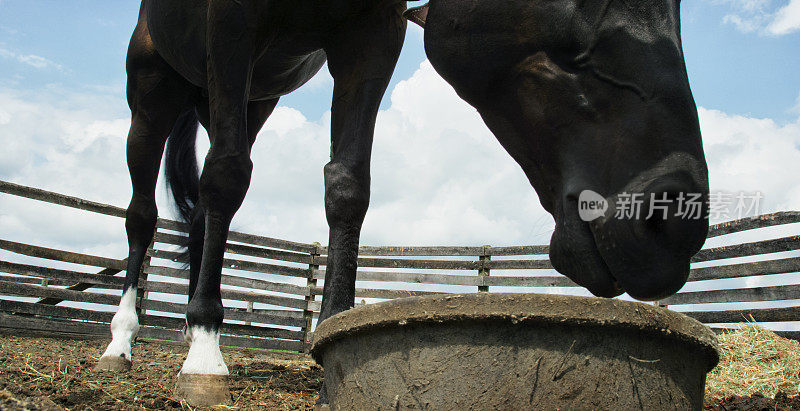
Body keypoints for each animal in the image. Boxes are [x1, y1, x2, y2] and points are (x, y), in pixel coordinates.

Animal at [98, 0, 708, 406]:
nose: (674, 223)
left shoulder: (370, 37)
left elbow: (347, 186)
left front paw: (333, 345)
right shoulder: (231, 24)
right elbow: (224, 178)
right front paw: (205, 355)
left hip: (255, 98)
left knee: (203, 211)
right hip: (151, 96)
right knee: (144, 215)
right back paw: (123, 341)